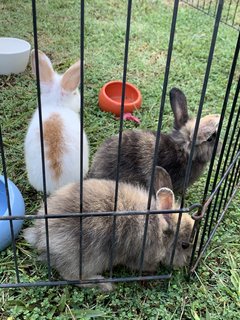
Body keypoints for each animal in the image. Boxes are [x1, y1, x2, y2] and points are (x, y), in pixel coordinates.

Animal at [23, 168, 193, 292]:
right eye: (185, 245)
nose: (184, 264)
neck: (160, 230)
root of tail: (39, 236)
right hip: (82, 261)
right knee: (72, 278)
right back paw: (104, 284)